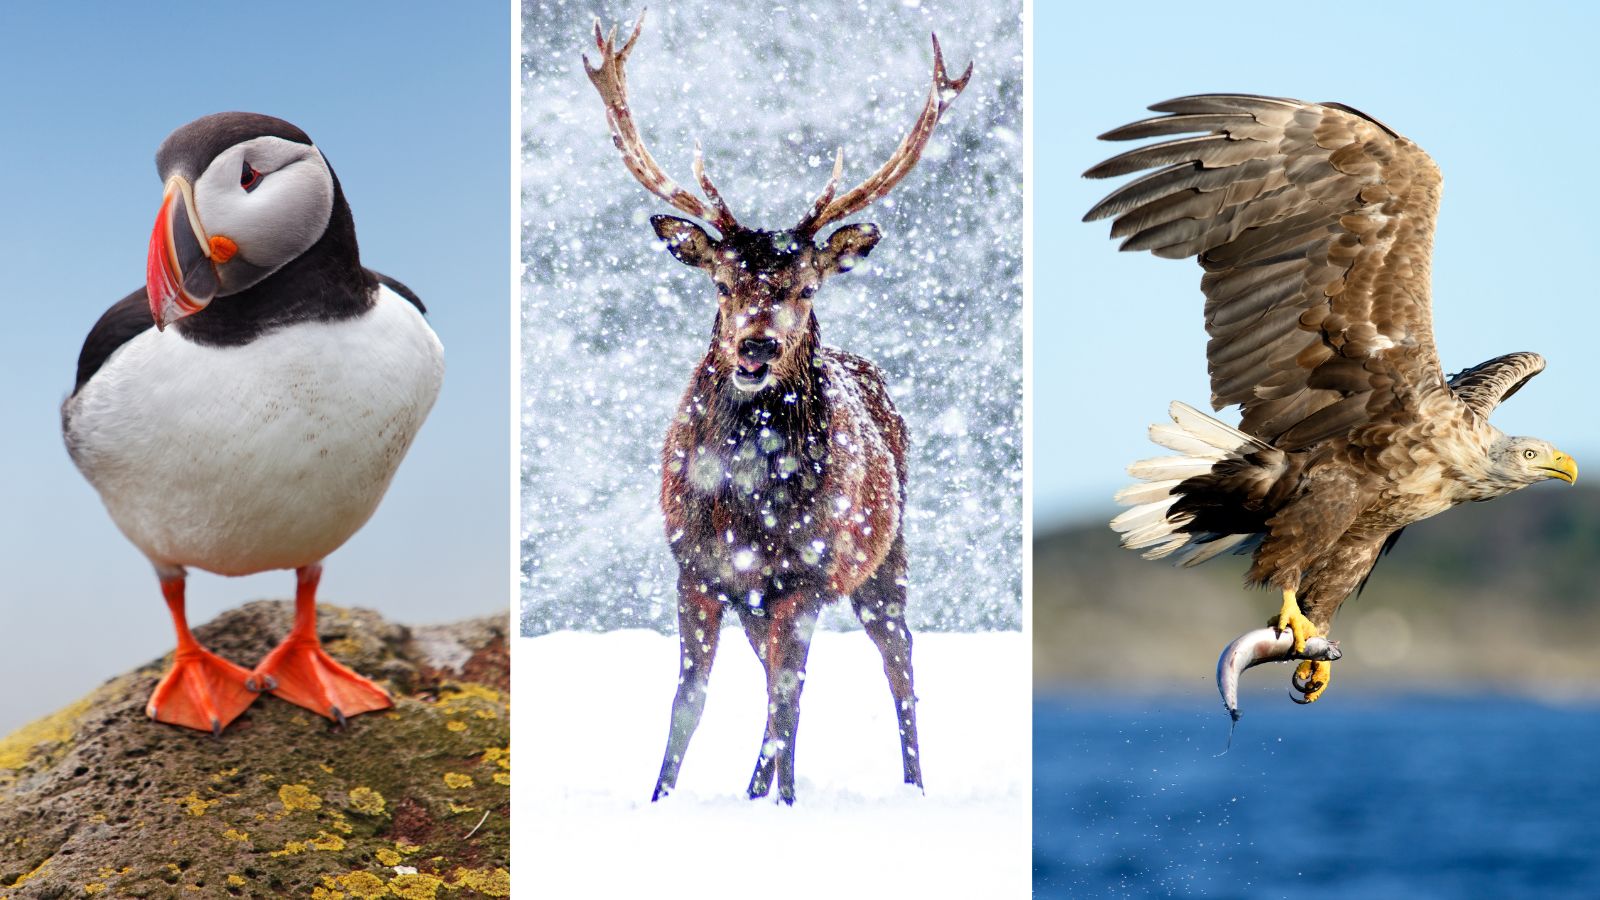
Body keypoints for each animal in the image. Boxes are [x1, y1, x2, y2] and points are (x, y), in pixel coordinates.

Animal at [583, 11, 971, 804]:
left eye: (806, 286)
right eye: (723, 282)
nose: (756, 346)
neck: (746, 503)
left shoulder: (807, 575)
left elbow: (787, 696)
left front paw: (779, 801)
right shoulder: (697, 570)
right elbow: (690, 698)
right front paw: (663, 798)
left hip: (883, 556)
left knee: (894, 660)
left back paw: (908, 785)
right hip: (759, 598)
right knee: (775, 676)